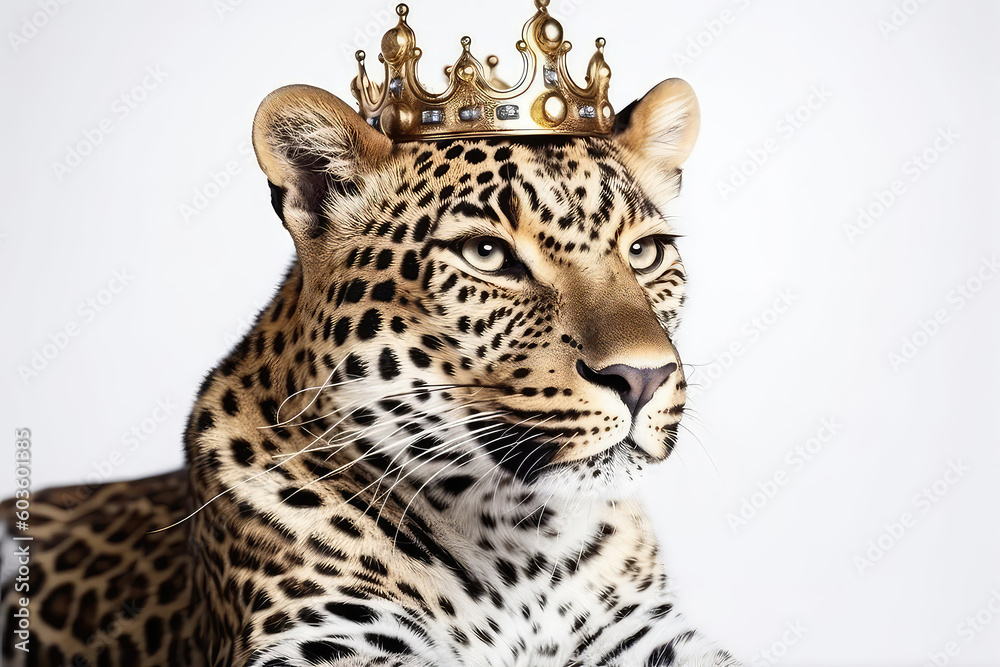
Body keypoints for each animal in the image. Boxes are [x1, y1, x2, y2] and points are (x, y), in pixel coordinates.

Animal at [1, 76, 741, 666]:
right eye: (487, 255)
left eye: (645, 252)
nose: (643, 377)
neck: (520, 545)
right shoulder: (322, 646)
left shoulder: (646, 637)